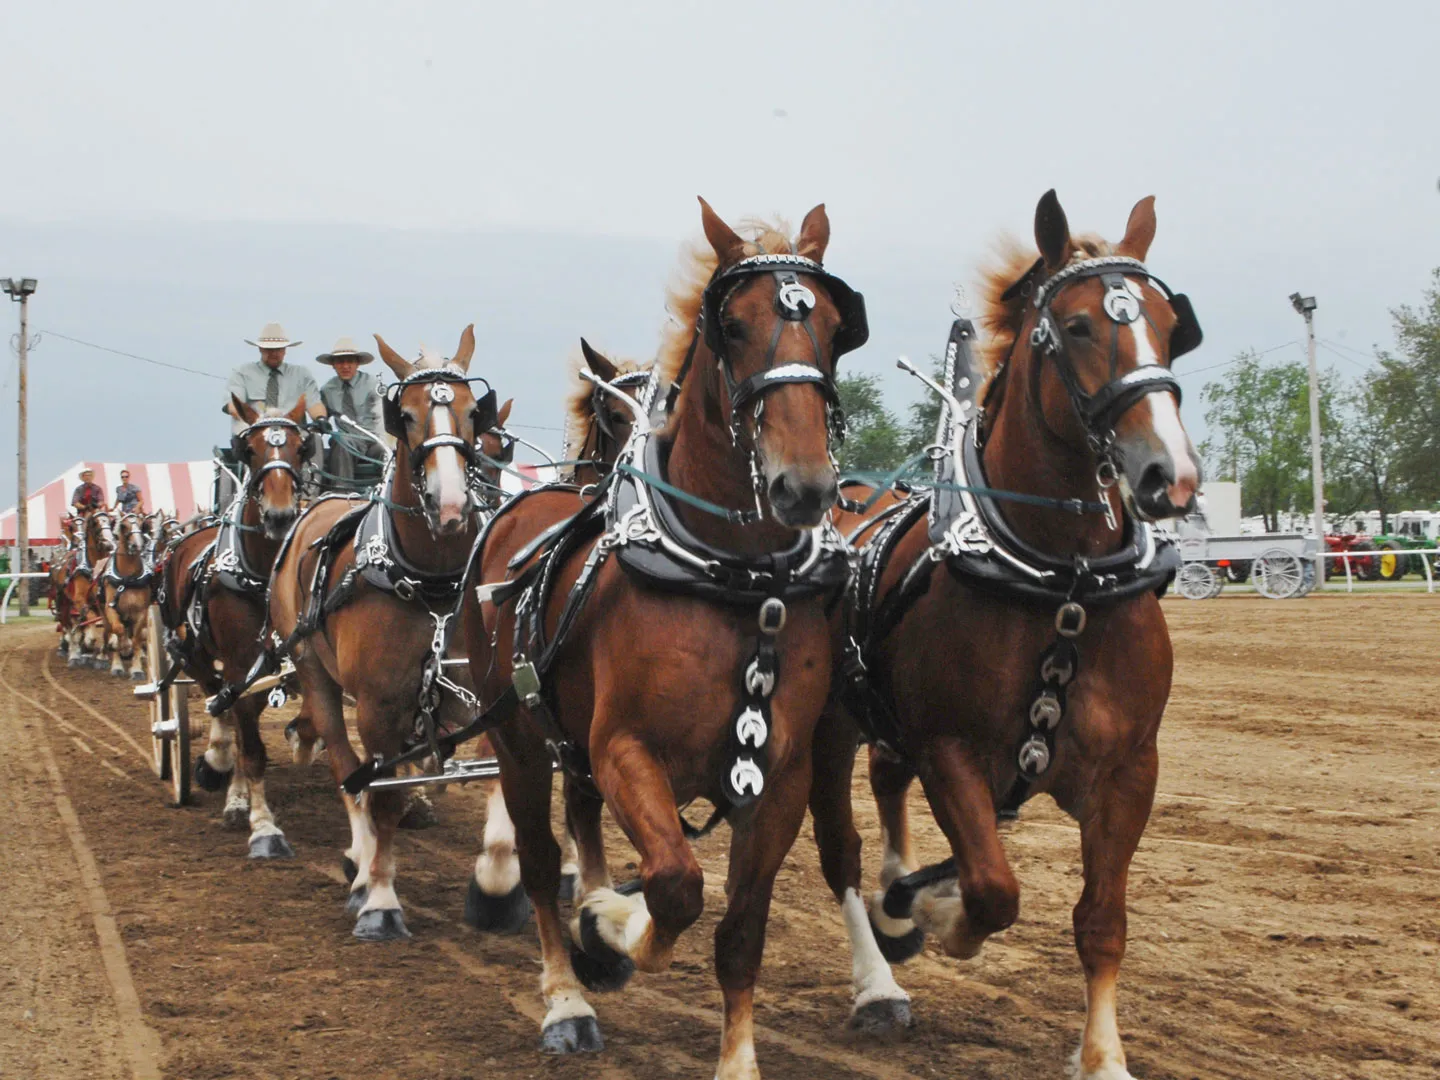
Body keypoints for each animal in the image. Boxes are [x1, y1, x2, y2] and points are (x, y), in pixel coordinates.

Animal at [158, 397, 311, 855]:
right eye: (249, 450)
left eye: (302, 448)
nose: (280, 516)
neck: (263, 576)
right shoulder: (242, 663)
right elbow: (250, 746)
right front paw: (264, 828)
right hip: (190, 650)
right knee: (217, 700)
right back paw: (217, 767)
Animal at [267, 326, 516, 940]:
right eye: (404, 415)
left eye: (475, 412)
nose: (451, 505)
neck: (435, 584)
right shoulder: (379, 706)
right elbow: (379, 795)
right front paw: (380, 899)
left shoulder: (490, 696)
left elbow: (502, 780)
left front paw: (498, 885)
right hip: (315, 674)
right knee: (346, 767)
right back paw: (360, 863)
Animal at [457, 200, 865, 1077]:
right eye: (733, 326)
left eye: (834, 326)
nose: (806, 486)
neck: (735, 581)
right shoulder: (623, 748)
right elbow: (675, 884)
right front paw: (607, 927)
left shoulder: (778, 778)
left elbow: (740, 932)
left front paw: (738, 1059)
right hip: (517, 737)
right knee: (537, 859)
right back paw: (567, 992)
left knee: (578, 821)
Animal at [807, 191, 1203, 1080]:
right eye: (1080, 326)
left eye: (1171, 323)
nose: (1172, 476)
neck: (1065, 584)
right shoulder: (952, 748)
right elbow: (994, 887)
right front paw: (939, 916)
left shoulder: (1131, 769)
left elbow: (1101, 922)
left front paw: (1104, 1056)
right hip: (825, 729)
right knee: (841, 847)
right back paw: (879, 974)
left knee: (885, 781)